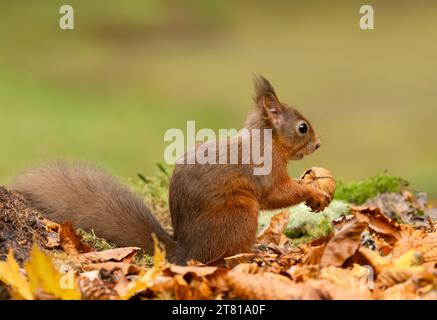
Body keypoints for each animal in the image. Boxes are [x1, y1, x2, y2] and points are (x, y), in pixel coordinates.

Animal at [11, 76, 330, 264]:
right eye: (302, 127)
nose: (318, 144)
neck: (267, 141)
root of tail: (187, 252)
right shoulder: (266, 172)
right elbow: (277, 194)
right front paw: (314, 193)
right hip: (239, 214)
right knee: (224, 258)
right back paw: (254, 253)